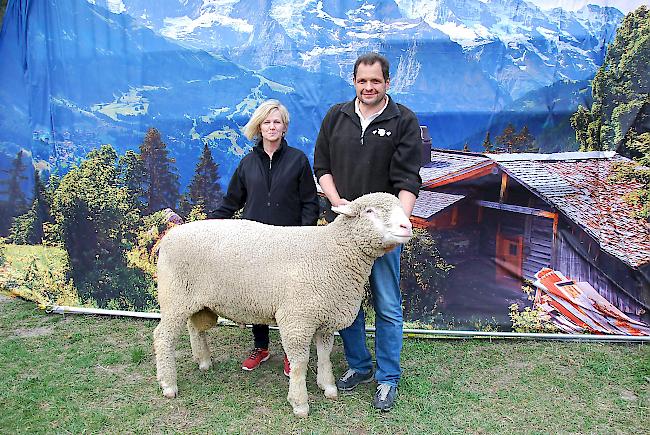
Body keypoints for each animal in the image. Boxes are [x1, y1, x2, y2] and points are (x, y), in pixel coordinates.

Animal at [153, 192, 410, 418]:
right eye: (369, 211)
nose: (407, 227)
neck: (332, 251)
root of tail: (171, 235)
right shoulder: (297, 319)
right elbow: (300, 363)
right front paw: (299, 403)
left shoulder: (324, 318)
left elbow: (324, 355)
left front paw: (328, 386)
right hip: (174, 297)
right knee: (163, 337)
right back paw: (168, 384)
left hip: (195, 300)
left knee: (194, 328)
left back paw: (203, 361)